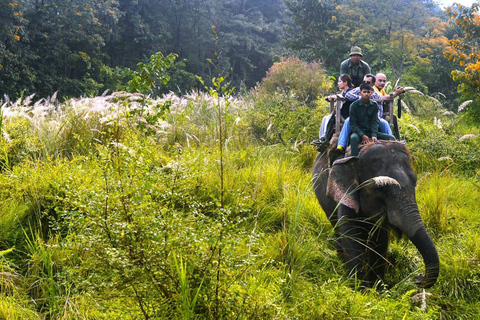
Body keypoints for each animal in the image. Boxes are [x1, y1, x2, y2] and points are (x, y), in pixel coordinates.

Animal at [314, 138, 440, 288]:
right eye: (381, 189)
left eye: (414, 183)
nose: (417, 277)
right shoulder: (346, 194)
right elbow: (351, 236)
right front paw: (360, 288)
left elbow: (380, 240)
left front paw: (378, 288)